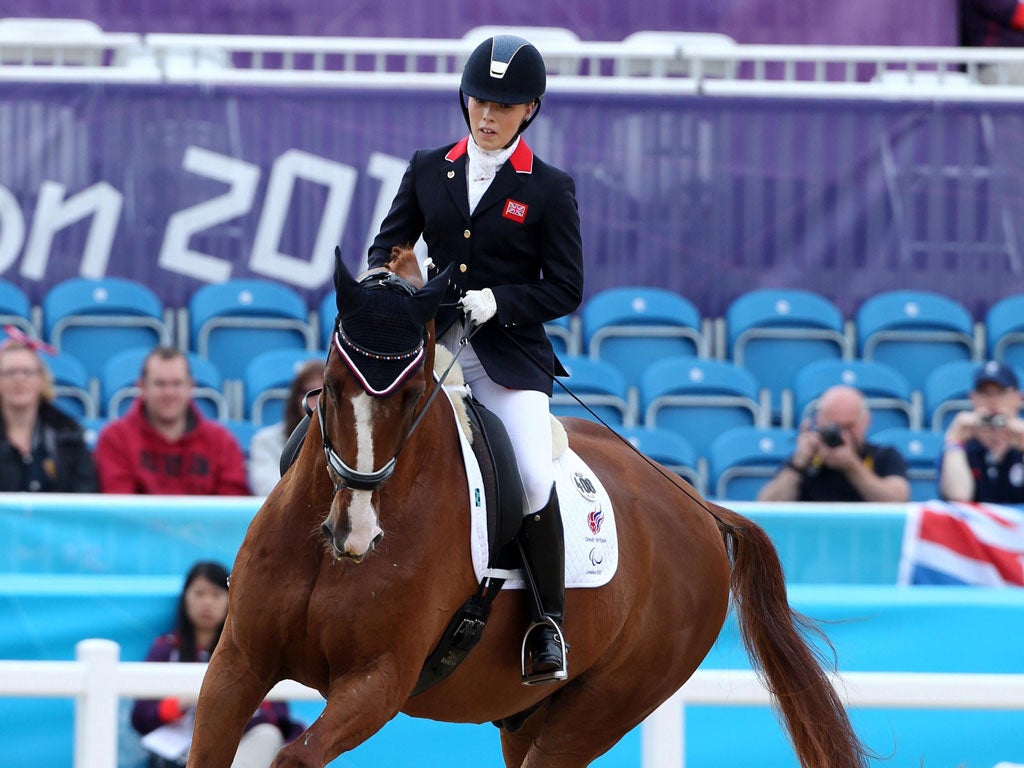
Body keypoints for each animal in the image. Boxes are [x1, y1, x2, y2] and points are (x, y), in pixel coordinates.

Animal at [188, 250, 868, 768]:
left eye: (411, 396)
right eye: (329, 387)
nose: (354, 534)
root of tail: (701, 508)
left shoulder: (377, 682)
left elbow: (295, 756)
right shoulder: (237, 661)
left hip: (601, 708)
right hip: (524, 714)